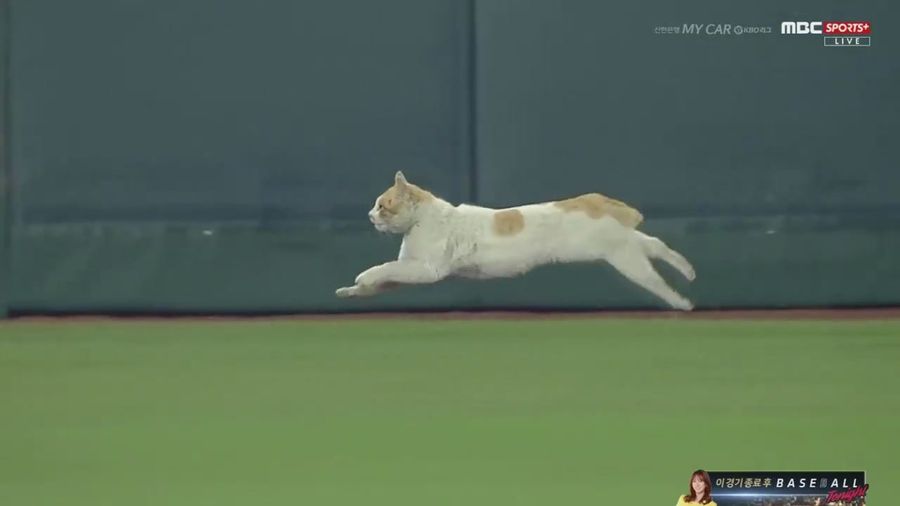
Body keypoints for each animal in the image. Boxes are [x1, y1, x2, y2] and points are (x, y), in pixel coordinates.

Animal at [338, 172, 696, 310]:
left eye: (382, 206)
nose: (369, 216)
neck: (422, 220)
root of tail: (591, 199)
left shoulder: (425, 270)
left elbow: (382, 268)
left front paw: (363, 277)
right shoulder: (410, 270)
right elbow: (382, 280)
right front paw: (352, 291)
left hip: (623, 257)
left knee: (654, 276)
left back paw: (681, 302)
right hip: (623, 244)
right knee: (656, 245)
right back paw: (688, 270)